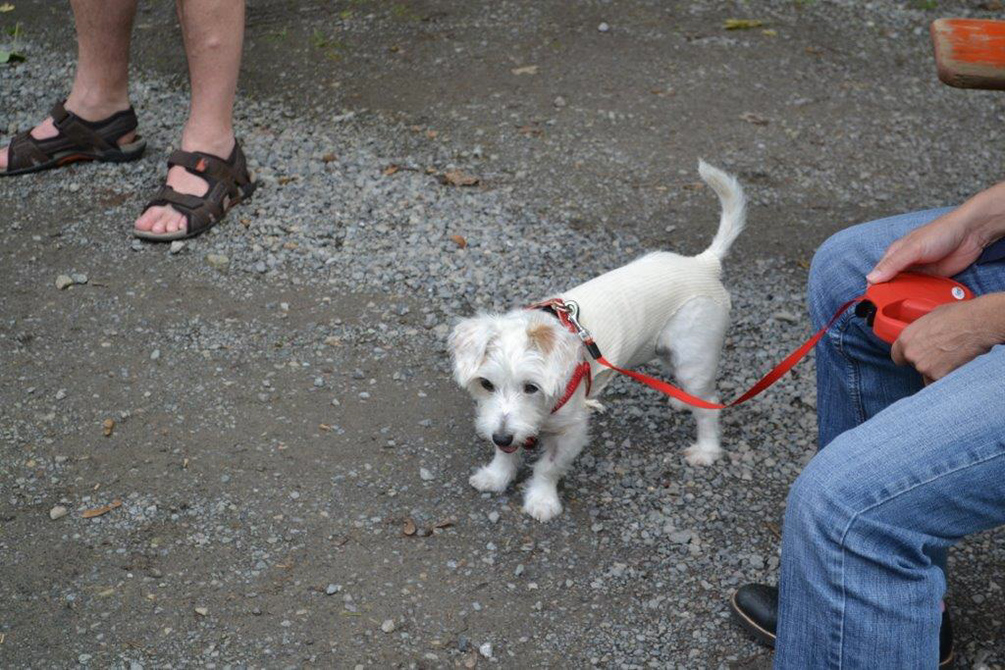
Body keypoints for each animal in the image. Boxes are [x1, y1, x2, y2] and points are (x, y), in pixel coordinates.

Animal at [450, 162, 747, 522]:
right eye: (486, 384)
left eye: (531, 387)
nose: (502, 435)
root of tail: (703, 263)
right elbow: (506, 454)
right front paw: (497, 476)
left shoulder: (571, 431)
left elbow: (548, 468)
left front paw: (541, 500)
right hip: (667, 351)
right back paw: (683, 401)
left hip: (695, 359)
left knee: (710, 405)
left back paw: (706, 449)